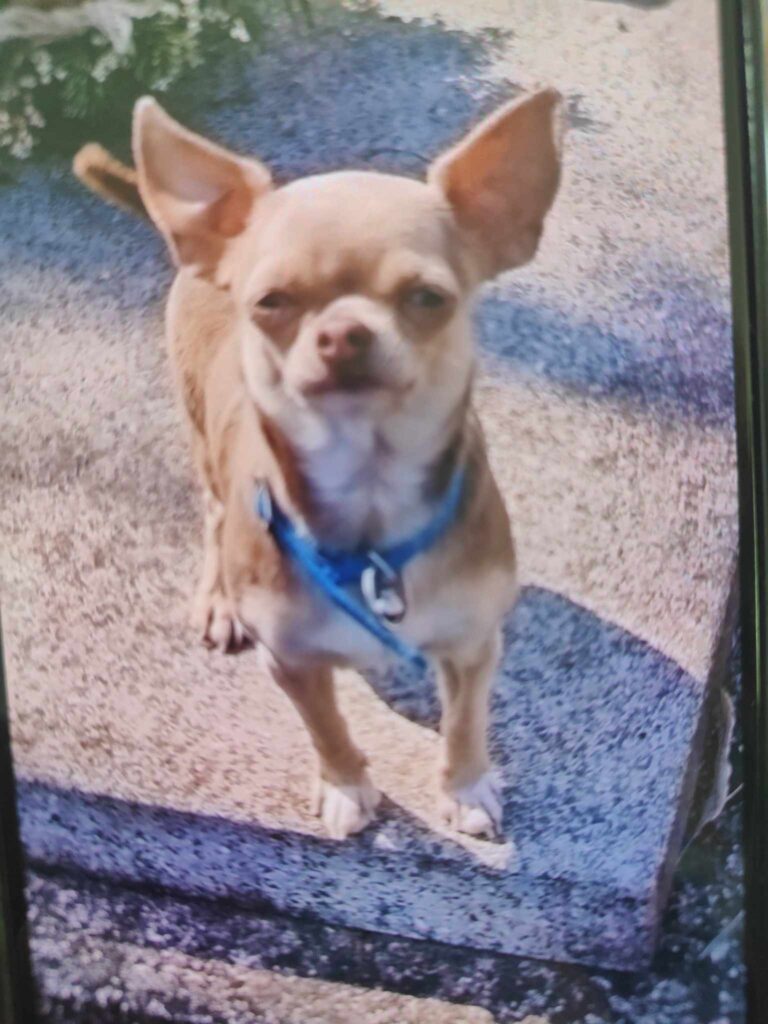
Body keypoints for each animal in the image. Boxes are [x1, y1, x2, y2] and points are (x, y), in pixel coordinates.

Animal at [73, 89, 564, 840]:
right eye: (271, 302)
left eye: (428, 298)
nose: (343, 332)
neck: (369, 501)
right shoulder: (293, 662)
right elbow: (327, 726)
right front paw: (346, 785)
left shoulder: (474, 645)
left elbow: (465, 721)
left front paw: (465, 785)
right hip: (203, 440)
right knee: (214, 515)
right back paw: (219, 597)